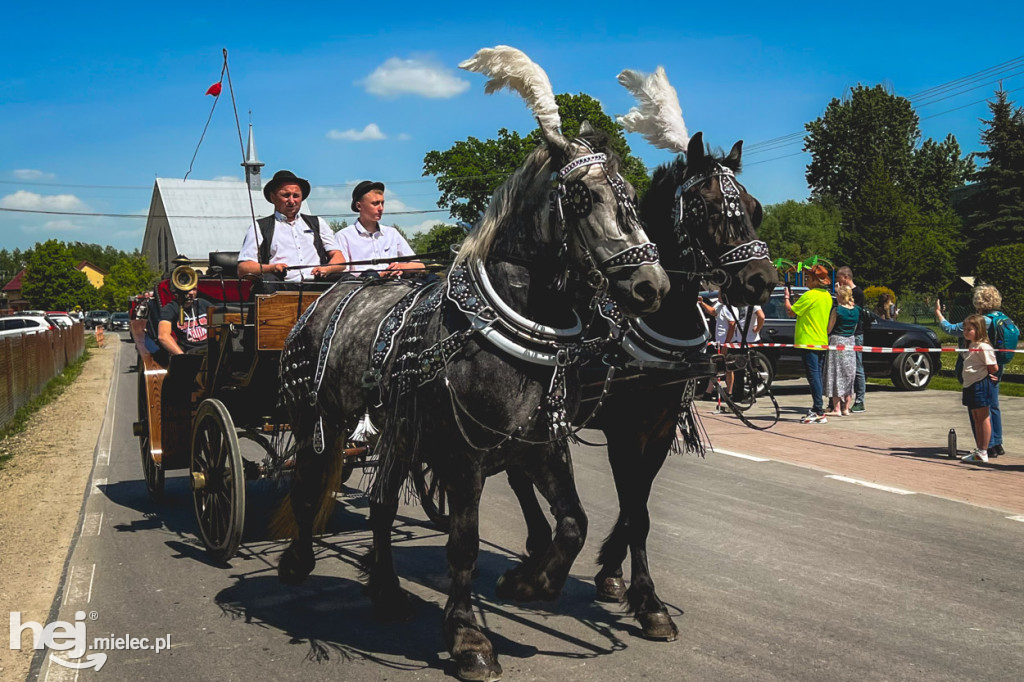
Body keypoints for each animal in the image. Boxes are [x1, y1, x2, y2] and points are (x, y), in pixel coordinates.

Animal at [276, 47, 667, 679]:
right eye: (584, 198)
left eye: (631, 194)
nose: (650, 285)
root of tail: (329, 295)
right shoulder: (462, 459)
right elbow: (464, 544)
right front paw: (467, 636)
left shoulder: (542, 447)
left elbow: (574, 524)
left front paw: (530, 583)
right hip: (320, 417)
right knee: (310, 481)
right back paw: (298, 560)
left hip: (397, 434)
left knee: (381, 505)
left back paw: (386, 592)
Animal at [503, 66, 774, 638]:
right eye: (707, 207)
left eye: (755, 209)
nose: (762, 281)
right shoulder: (626, 429)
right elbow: (636, 510)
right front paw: (647, 602)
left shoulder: (660, 427)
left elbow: (638, 507)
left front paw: (614, 577)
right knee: (516, 473)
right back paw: (535, 549)